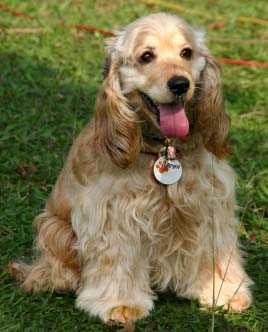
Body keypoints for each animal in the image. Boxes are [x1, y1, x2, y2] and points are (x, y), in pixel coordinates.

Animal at [7, 13, 251, 324]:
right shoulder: (113, 213)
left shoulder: (209, 203)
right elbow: (118, 261)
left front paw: (223, 290)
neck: (163, 147)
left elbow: (215, 250)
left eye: (186, 53)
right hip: (54, 227)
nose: (180, 84)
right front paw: (120, 304)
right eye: (146, 56)